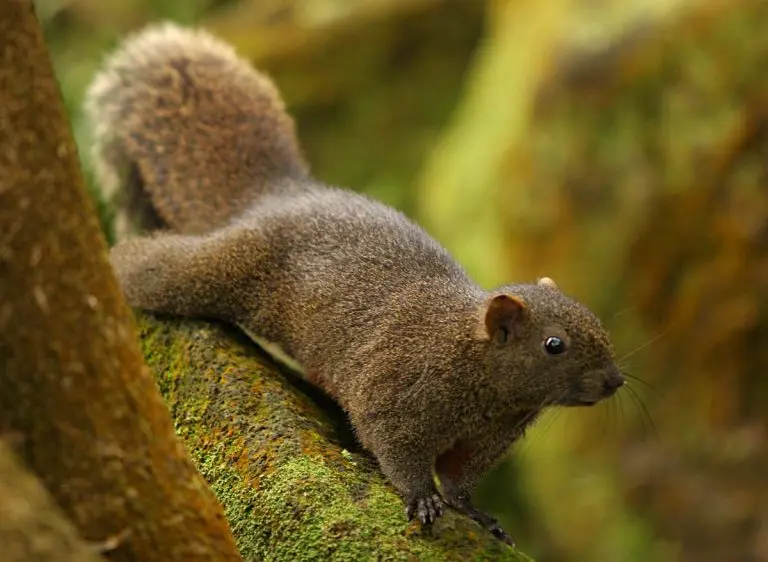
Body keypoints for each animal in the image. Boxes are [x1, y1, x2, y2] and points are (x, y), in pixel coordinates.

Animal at [85, 22, 625, 546]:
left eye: (599, 324)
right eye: (554, 344)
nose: (615, 381)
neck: (473, 366)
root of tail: (280, 196)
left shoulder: (485, 440)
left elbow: (459, 481)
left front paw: (477, 514)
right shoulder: (393, 394)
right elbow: (396, 452)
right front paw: (421, 499)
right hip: (222, 269)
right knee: (156, 266)